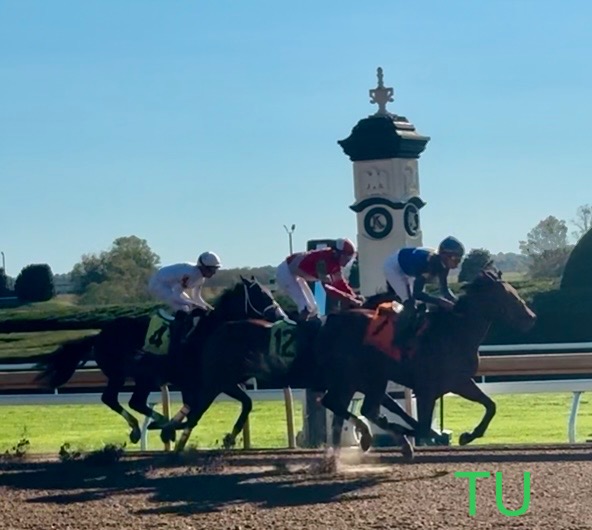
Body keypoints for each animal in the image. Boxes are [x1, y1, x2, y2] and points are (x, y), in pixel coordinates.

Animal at [36, 274, 286, 444]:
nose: (281, 315)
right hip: (123, 374)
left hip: (141, 377)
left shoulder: (214, 382)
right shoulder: (204, 382)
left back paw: (148, 426)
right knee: (115, 400)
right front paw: (171, 429)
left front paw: (229, 437)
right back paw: (143, 427)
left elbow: (243, 403)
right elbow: (198, 407)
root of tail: (99, 336)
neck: (209, 332)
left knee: (132, 401)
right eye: (261, 295)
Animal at [162, 266, 536, 456]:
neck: (452, 332)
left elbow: (489, 406)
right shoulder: (428, 385)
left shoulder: (457, 381)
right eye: (507, 296)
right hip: (219, 380)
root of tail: (219, 329)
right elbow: (417, 418)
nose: (531, 318)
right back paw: (174, 436)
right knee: (199, 407)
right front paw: (431, 435)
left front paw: (466, 435)